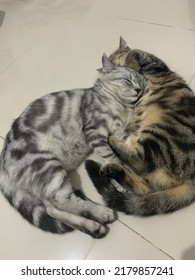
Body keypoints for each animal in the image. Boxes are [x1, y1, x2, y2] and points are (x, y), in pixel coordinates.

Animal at [0, 53, 145, 237]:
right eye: (127, 80)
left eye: (141, 82)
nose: (138, 89)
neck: (122, 107)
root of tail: (3, 161)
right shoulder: (94, 130)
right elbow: (112, 157)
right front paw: (120, 178)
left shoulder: (118, 133)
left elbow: (121, 153)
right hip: (47, 167)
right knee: (62, 201)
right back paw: (102, 213)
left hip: (45, 181)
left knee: (52, 210)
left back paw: (92, 226)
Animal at [85, 37, 195, 215]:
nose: (113, 65)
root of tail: (192, 180)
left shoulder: (155, 63)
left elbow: (135, 52)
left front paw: (131, 63)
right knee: (143, 182)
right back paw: (113, 166)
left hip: (160, 135)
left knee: (142, 166)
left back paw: (113, 142)